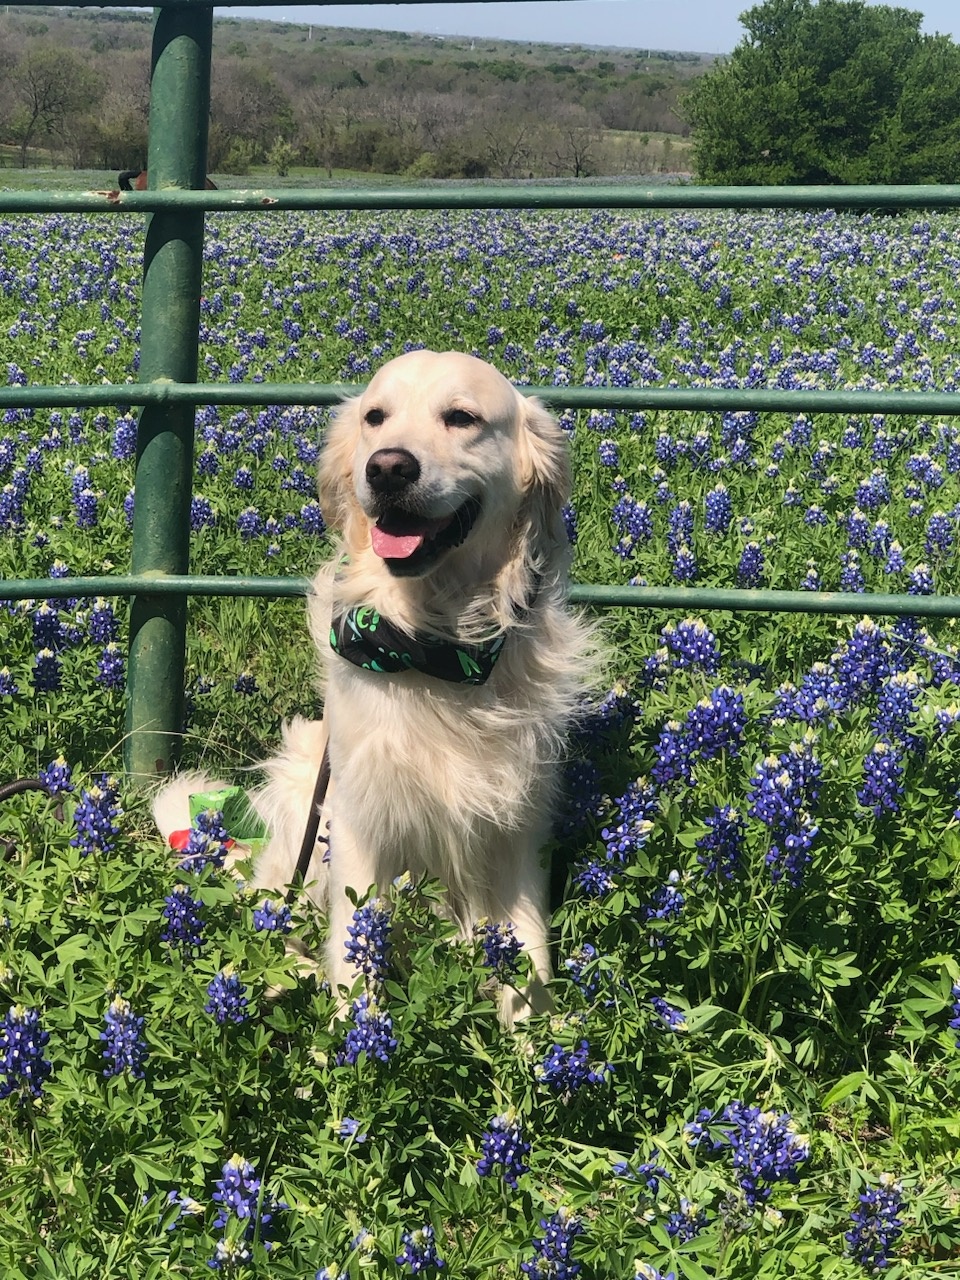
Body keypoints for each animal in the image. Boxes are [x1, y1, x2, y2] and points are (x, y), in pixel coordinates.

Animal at [156, 353, 593, 1029]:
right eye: (375, 416)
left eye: (462, 417)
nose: (387, 466)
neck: (435, 649)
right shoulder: (362, 824)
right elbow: (356, 960)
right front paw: (351, 1044)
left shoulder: (518, 824)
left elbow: (530, 953)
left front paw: (538, 1045)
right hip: (303, 800)